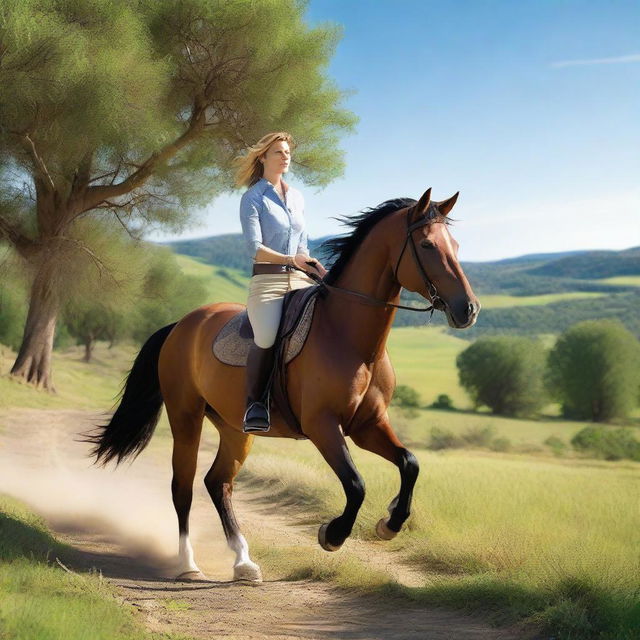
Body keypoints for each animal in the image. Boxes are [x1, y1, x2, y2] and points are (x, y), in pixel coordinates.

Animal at [90, 188, 480, 584]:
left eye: (456, 245)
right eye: (428, 245)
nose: (469, 309)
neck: (349, 337)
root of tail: (182, 323)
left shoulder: (367, 426)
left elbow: (410, 463)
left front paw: (390, 523)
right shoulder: (323, 426)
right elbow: (355, 484)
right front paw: (332, 534)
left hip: (235, 428)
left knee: (218, 482)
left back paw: (243, 562)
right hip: (186, 416)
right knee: (182, 487)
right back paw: (188, 564)